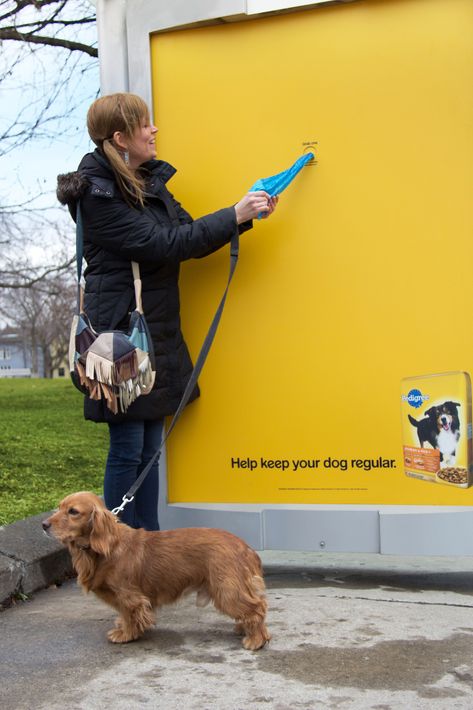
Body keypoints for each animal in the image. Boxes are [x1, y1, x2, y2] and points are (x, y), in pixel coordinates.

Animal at [42, 496, 272, 652]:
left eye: (73, 511)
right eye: (59, 507)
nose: (43, 525)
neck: (106, 546)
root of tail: (246, 548)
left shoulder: (129, 596)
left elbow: (129, 614)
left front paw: (125, 634)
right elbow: (125, 615)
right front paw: (124, 627)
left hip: (226, 590)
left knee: (257, 608)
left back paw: (256, 640)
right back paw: (244, 628)